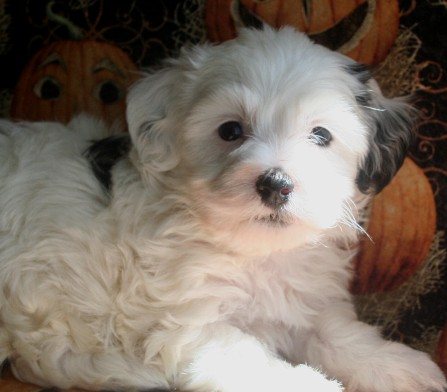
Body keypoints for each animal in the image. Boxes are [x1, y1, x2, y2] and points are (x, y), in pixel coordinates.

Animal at [0, 26, 447, 392]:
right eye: (230, 130)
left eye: (321, 135)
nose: (276, 184)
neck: (252, 251)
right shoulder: (188, 322)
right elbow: (251, 359)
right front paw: (310, 384)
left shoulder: (301, 299)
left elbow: (335, 333)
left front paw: (397, 365)